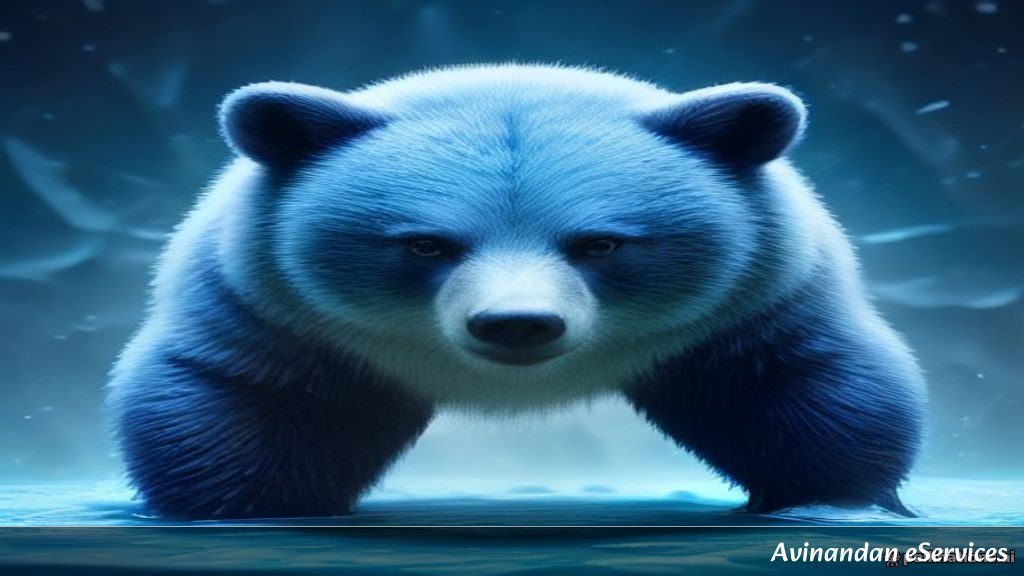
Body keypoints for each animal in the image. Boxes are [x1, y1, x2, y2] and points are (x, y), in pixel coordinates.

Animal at [107, 64, 925, 519]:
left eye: (599, 243)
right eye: (426, 243)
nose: (517, 324)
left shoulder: (743, 313)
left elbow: (798, 394)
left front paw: (834, 501)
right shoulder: (286, 321)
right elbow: (251, 411)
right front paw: (241, 508)